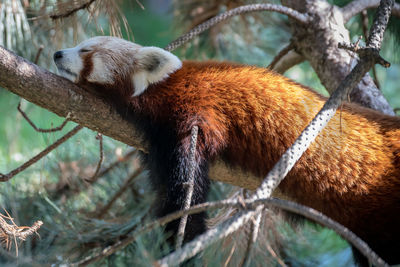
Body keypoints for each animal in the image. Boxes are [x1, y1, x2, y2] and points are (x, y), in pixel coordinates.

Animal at [54, 36, 400, 266]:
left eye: (86, 50)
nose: (57, 53)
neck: (162, 89)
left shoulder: (196, 113)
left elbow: (186, 192)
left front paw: (181, 243)